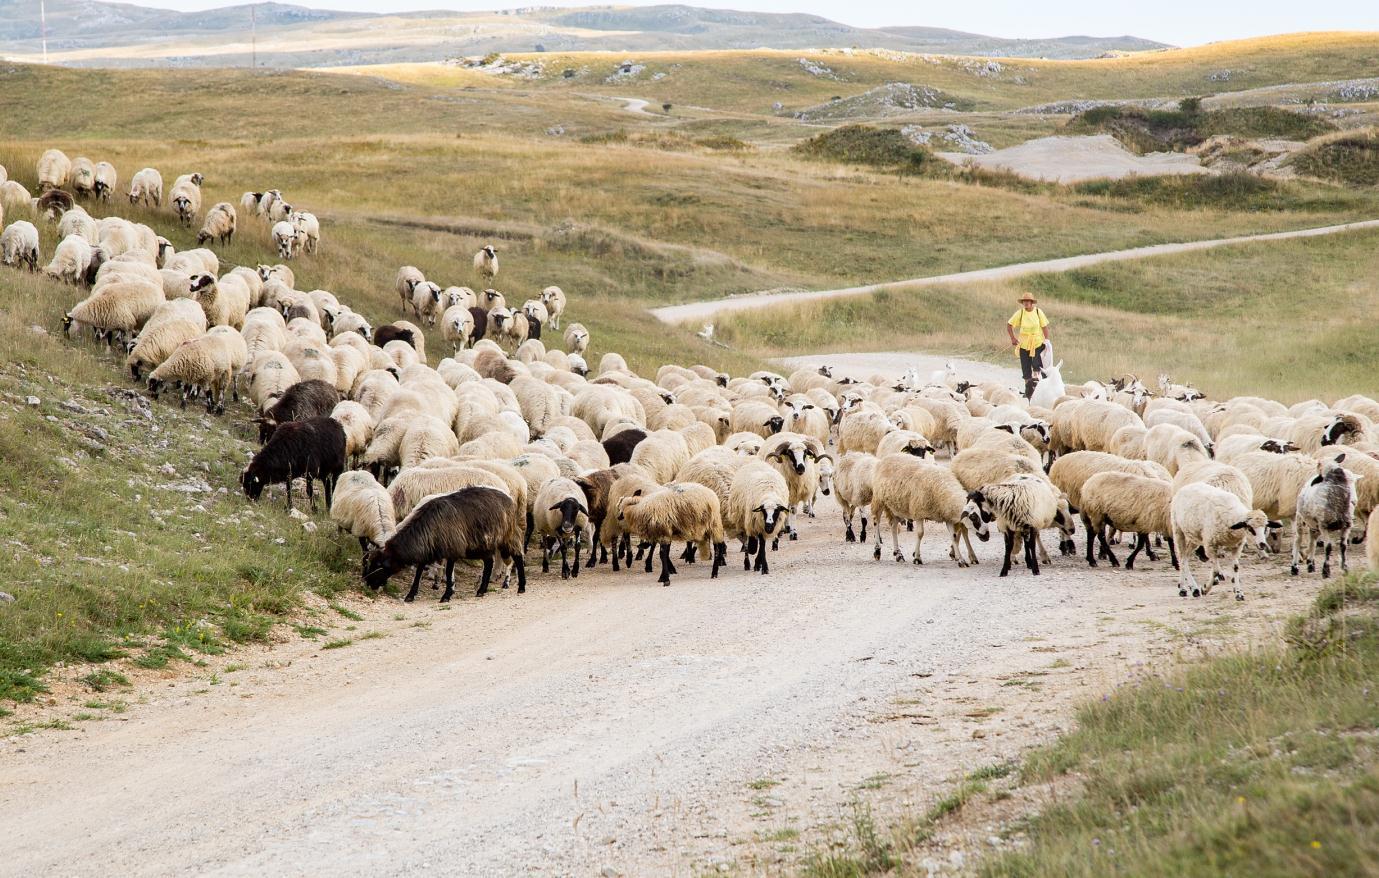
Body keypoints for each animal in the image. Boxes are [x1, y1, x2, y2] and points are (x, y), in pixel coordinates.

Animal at [361, 485, 526, 603]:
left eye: (379, 565)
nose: (368, 583)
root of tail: (508, 497)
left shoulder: (452, 549)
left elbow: (447, 572)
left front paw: (446, 595)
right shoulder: (429, 549)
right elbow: (419, 571)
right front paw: (411, 595)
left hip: (507, 535)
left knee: (518, 556)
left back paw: (521, 587)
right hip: (483, 544)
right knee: (489, 562)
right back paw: (481, 590)